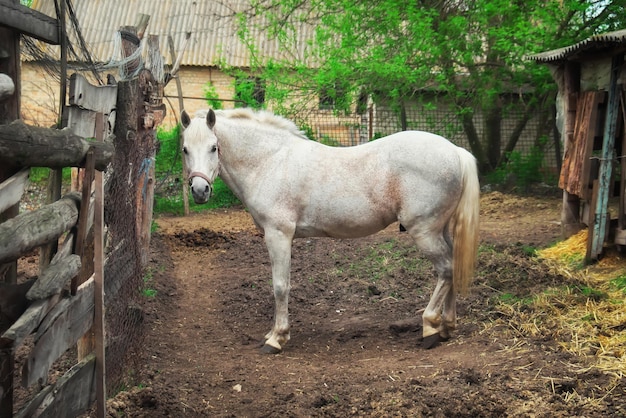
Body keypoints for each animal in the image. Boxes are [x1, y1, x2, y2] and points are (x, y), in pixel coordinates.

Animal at [180, 108, 478, 352]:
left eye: (214, 147)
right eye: (185, 149)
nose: (199, 190)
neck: (270, 161)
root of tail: (455, 151)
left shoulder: (278, 235)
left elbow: (280, 286)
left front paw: (276, 338)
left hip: (425, 231)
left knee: (446, 269)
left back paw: (430, 327)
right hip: (441, 230)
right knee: (452, 266)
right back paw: (447, 327)